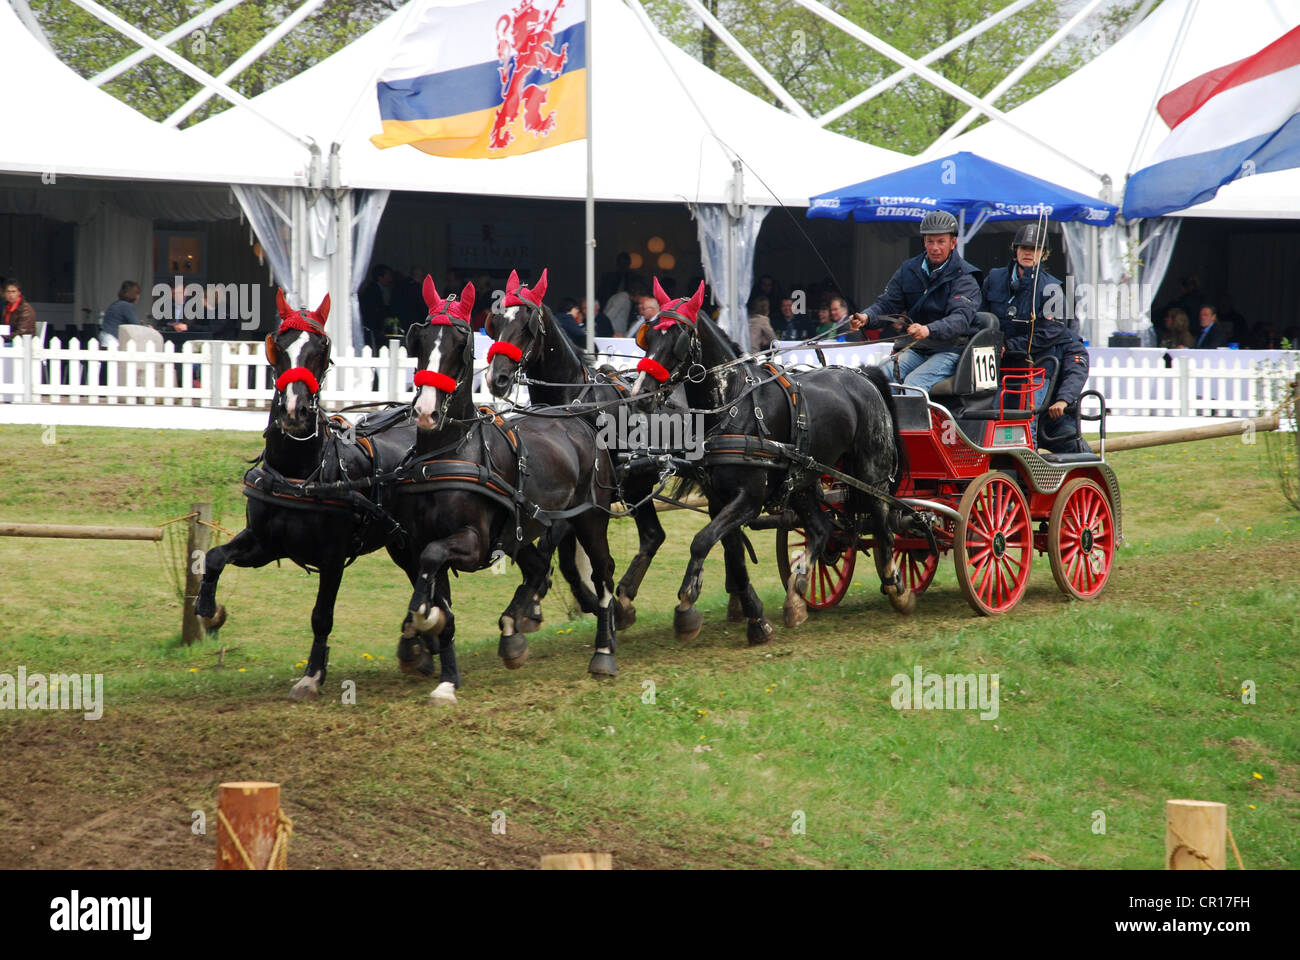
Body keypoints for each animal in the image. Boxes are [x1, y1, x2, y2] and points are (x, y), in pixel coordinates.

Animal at [192, 287, 421, 697]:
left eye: (322, 347)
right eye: (278, 345)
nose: (295, 412)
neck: (299, 474)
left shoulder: (332, 557)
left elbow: (321, 616)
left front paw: (313, 673)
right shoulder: (266, 543)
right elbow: (216, 556)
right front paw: (208, 608)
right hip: (400, 544)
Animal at [390, 270, 624, 681]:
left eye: (461, 343)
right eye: (421, 340)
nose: (427, 410)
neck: (449, 453)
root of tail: (575, 417)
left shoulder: (475, 542)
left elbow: (434, 560)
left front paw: (423, 619)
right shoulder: (418, 540)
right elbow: (430, 578)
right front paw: (424, 635)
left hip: (591, 517)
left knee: (603, 571)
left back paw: (604, 648)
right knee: (541, 567)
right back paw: (515, 627)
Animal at [488, 267, 670, 629]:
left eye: (526, 326)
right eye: (497, 322)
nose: (496, 379)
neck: (573, 400)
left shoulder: (579, 500)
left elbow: (552, 549)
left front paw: (530, 605)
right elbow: (567, 562)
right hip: (637, 485)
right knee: (653, 535)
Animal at [631, 278, 915, 642]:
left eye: (678, 337)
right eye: (648, 336)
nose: (641, 394)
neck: (732, 403)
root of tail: (864, 376)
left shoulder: (749, 498)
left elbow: (702, 541)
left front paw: (686, 606)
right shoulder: (717, 499)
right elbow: (733, 554)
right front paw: (755, 619)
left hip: (872, 474)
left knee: (883, 525)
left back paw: (897, 588)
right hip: (803, 479)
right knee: (821, 529)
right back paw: (797, 592)